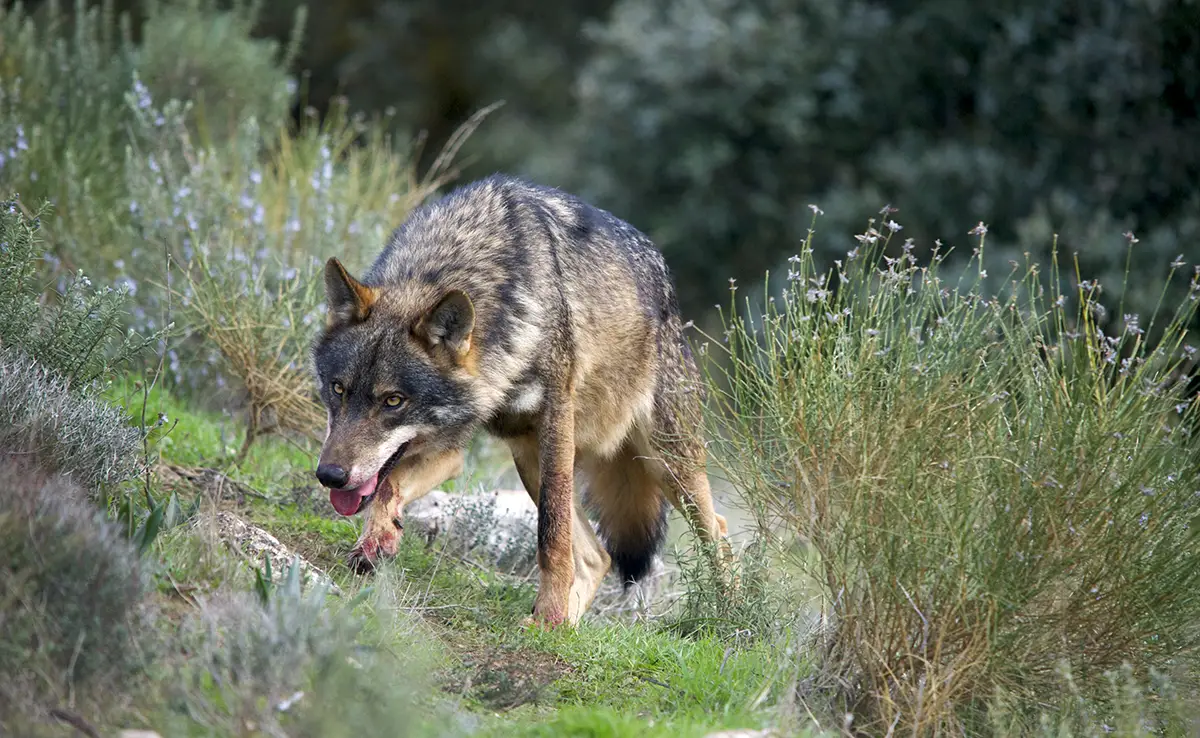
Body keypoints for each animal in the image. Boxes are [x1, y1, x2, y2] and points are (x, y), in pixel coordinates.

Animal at [314, 176, 724, 628]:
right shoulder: (450, 447)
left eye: (392, 400)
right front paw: (377, 541)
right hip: (530, 459)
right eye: (338, 389)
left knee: (718, 532)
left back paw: (730, 615)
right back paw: (562, 628)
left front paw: (548, 612)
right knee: (597, 557)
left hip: (664, 463)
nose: (329, 476)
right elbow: (388, 486)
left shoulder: (556, 420)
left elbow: (551, 536)